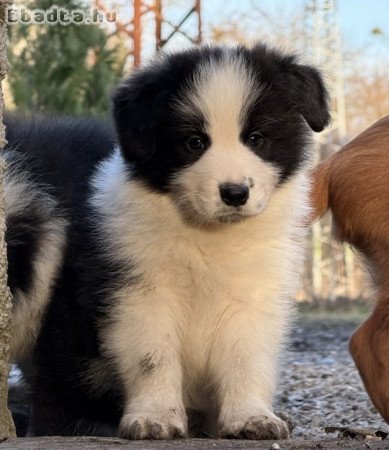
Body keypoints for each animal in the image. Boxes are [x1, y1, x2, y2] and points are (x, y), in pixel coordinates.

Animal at [4, 44, 328, 438]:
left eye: (256, 139)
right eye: (194, 142)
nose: (235, 193)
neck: (208, 235)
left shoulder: (252, 295)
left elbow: (245, 357)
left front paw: (251, 417)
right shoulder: (139, 291)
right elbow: (153, 356)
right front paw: (155, 417)